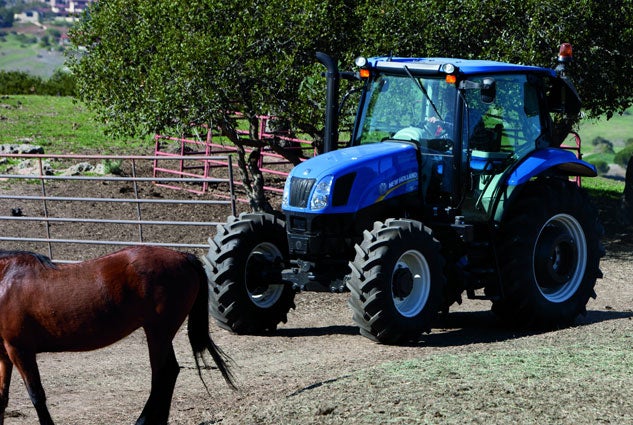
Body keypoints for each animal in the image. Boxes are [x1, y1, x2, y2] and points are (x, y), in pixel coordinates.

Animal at [0, 245, 235, 424]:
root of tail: (184, 257)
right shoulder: (5, 354)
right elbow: (2, 397)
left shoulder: (20, 350)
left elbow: (36, 395)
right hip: (159, 334)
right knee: (168, 373)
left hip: (158, 332)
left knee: (164, 373)